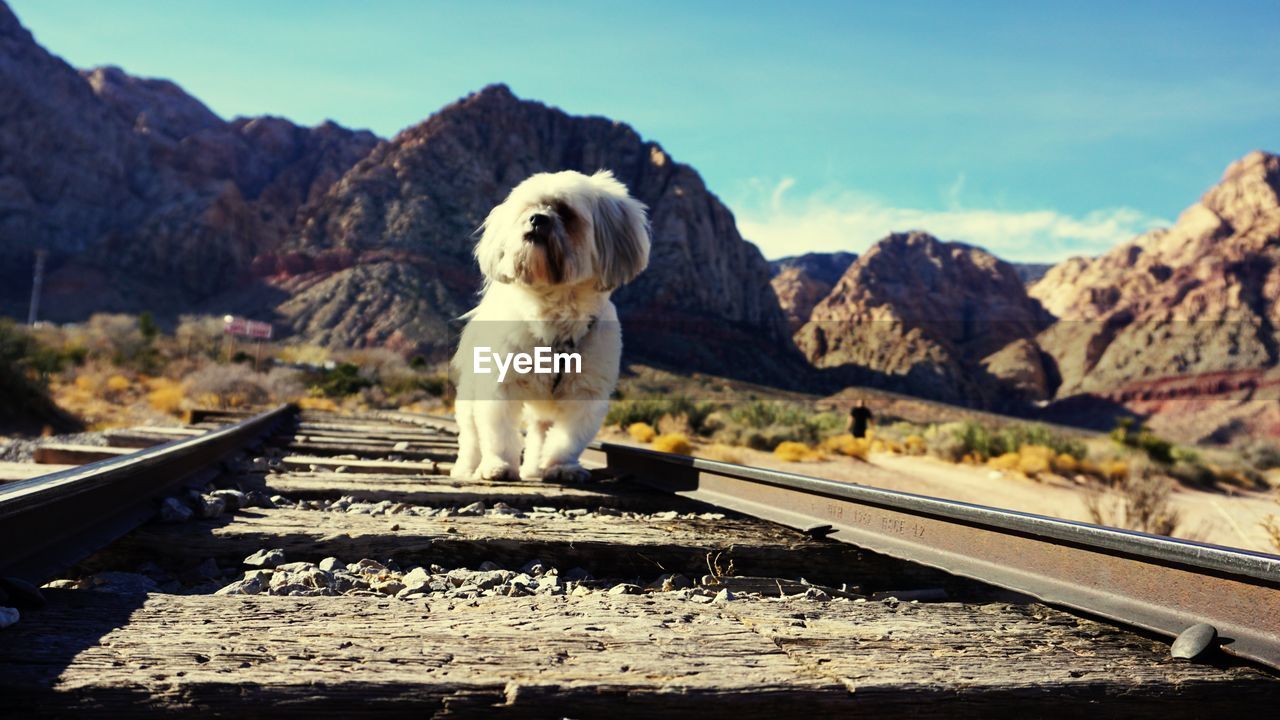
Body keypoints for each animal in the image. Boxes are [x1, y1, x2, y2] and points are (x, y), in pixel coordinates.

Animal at [450, 169, 650, 481]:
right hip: (470, 393)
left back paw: (534, 469)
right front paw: (499, 466)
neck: (554, 314)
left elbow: (567, 439)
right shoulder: (500, 385)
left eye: (566, 213)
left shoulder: (585, 392)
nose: (537, 219)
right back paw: (467, 468)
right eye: (528, 209)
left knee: (539, 431)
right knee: (471, 435)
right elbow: (498, 432)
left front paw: (562, 467)